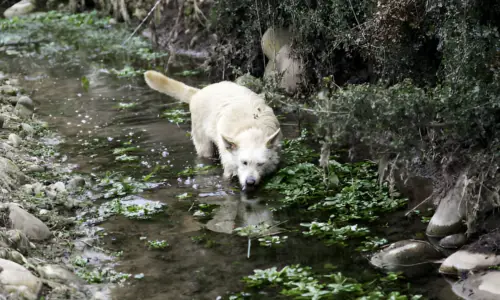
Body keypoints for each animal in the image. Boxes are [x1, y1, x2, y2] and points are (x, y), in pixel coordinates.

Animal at [144, 70, 282, 189]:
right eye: (244, 162)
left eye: (260, 164)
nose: (250, 182)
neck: (251, 128)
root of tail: (199, 92)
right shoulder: (228, 166)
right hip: (204, 146)